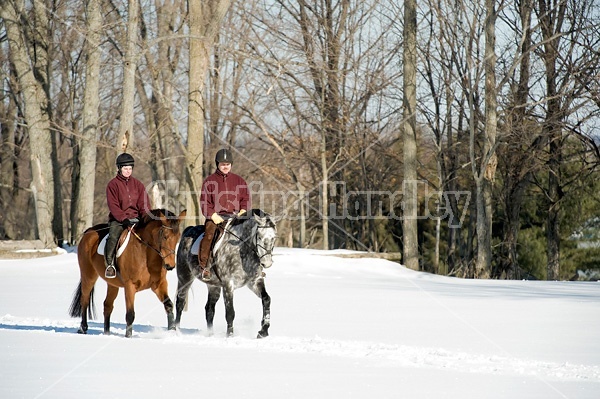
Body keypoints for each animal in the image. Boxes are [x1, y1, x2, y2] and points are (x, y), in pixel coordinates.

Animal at [69, 209, 185, 338]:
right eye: (165, 236)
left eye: (178, 237)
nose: (170, 266)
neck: (146, 253)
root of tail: (88, 232)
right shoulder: (130, 285)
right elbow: (130, 314)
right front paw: (128, 336)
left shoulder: (159, 284)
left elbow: (168, 305)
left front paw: (172, 331)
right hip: (88, 276)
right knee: (84, 299)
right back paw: (83, 328)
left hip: (112, 284)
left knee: (107, 305)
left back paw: (106, 333)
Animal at [173, 209, 276, 338]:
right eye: (260, 237)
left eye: (274, 237)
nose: (267, 263)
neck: (242, 250)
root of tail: (188, 230)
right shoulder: (228, 284)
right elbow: (230, 312)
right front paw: (230, 335)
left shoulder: (254, 281)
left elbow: (266, 299)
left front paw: (263, 331)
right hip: (184, 277)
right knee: (180, 302)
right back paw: (176, 330)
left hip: (213, 286)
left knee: (209, 309)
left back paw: (210, 334)